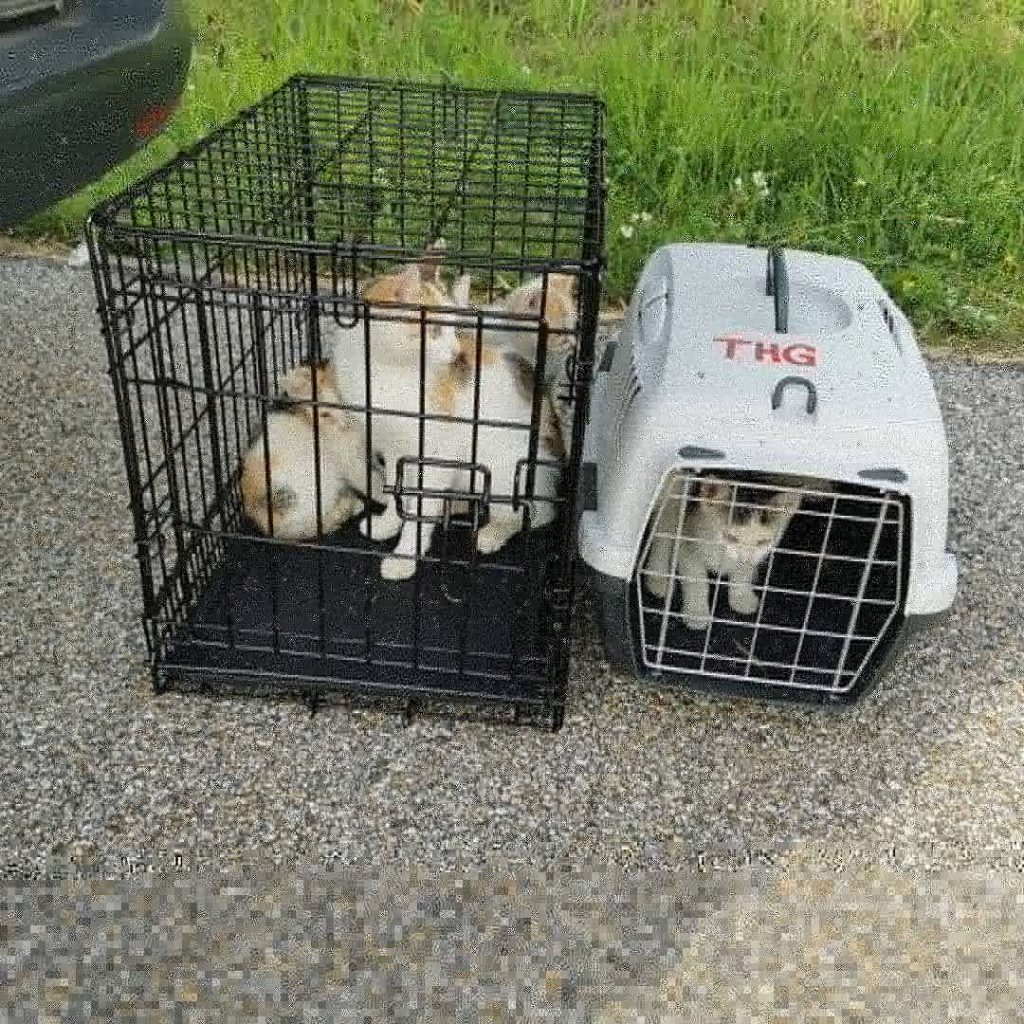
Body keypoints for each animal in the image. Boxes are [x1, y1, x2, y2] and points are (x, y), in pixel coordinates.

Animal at [240, 362, 382, 540]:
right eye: (325, 415)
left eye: (344, 402)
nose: (344, 423)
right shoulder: (349, 460)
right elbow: (368, 480)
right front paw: (384, 493)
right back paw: (354, 505)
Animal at [329, 264, 564, 580]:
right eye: (436, 331)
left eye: (455, 329)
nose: (457, 354)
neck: (387, 369)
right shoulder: (395, 449)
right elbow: (397, 490)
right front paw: (387, 523)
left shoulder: (437, 453)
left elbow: (419, 506)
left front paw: (404, 557)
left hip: (502, 464)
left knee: (533, 513)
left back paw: (492, 533)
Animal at [642, 475, 802, 629]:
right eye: (730, 537)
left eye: (763, 542)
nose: (745, 558)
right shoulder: (688, 542)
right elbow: (696, 580)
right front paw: (696, 612)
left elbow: (742, 572)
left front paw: (741, 596)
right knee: (663, 532)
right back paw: (658, 578)